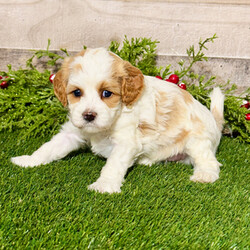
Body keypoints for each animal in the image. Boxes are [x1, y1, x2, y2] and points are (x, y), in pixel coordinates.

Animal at [11, 48, 225, 193]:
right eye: (77, 93)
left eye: (107, 93)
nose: (88, 115)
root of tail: (215, 123)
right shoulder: (72, 131)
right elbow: (48, 148)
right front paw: (28, 160)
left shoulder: (125, 142)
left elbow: (113, 164)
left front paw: (104, 185)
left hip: (197, 142)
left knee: (209, 162)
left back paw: (204, 175)